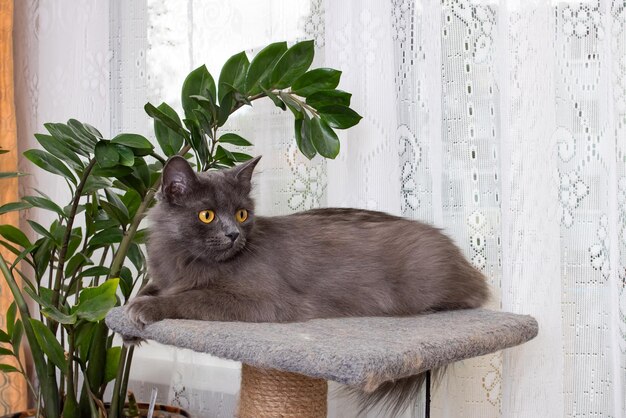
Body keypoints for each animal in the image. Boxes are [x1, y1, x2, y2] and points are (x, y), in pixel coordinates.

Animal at [125, 156, 488, 414]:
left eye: (241, 214)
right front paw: (127, 321)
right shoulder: (164, 277)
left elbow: (192, 298)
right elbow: (150, 288)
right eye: (207, 215)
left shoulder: (262, 300)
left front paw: (143, 310)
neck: (185, 260)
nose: (233, 234)